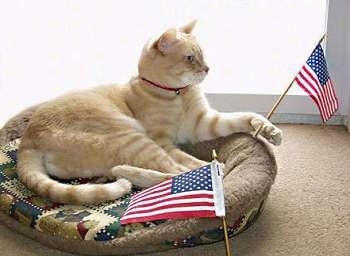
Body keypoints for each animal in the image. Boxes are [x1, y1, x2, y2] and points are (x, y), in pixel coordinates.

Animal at [17, 21, 284, 204]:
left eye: (202, 54)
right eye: (190, 58)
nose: (208, 68)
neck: (178, 93)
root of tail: (27, 141)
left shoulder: (204, 123)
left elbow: (243, 116)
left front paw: (267, 130)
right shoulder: (165, 142)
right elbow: (186, 161)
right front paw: (211, 164)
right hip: (132, 139)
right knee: (175, 173)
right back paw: (214, 169)